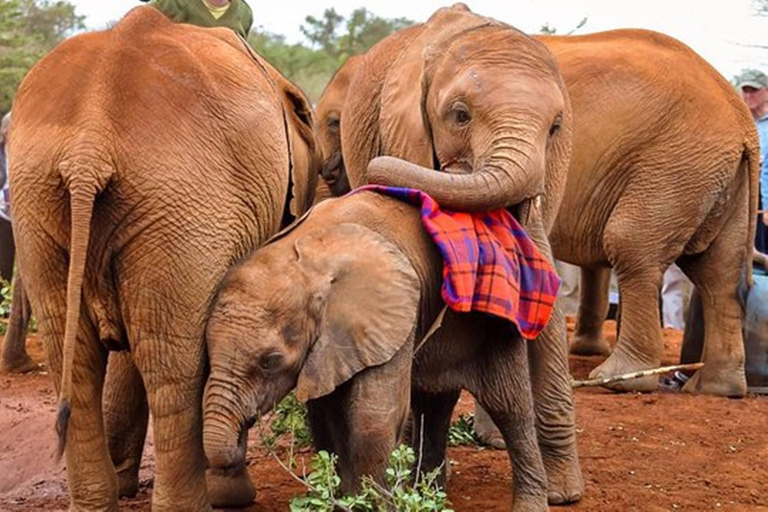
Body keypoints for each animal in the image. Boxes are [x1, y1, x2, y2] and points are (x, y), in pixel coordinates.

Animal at [6, 6, 318, 510]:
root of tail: (89, 139)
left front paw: (125, 481)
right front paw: (229, 493)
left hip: (41, 200)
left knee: (78, 357)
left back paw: (97, 501)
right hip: (179, 203)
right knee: (174, 366)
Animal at [204, 190, 552, 510]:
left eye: (270, 361)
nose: (243, 434)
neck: (303, 259)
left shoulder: (386, 314)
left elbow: (373, 418)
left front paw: (370, 505)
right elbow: (326, 417)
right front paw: (346, 501)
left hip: (495, 322)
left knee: (509, 406)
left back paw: (528, 503)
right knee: (434, 401)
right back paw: (428, 494)